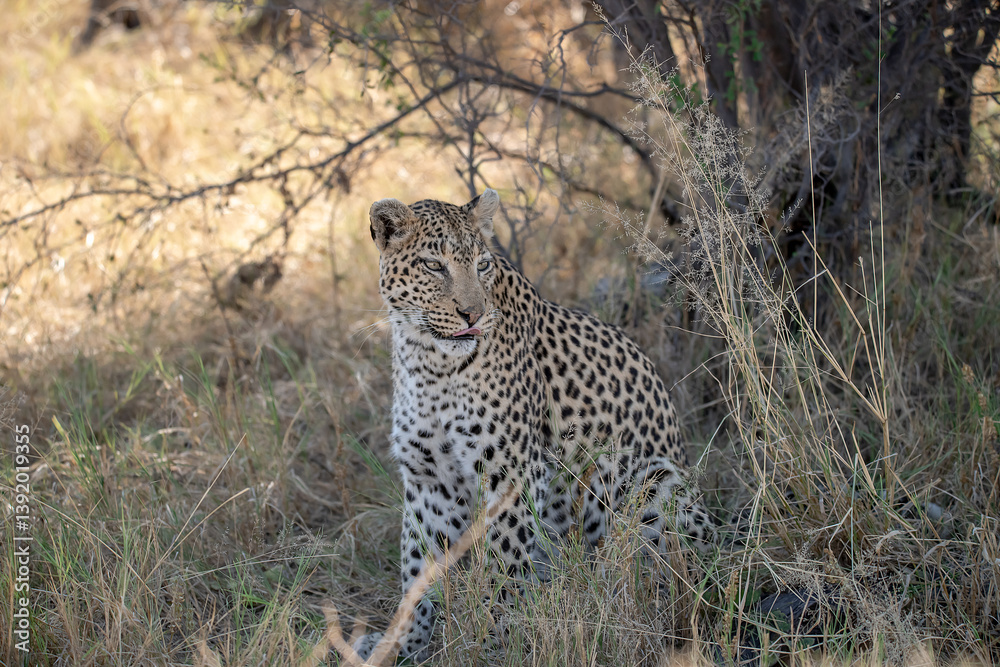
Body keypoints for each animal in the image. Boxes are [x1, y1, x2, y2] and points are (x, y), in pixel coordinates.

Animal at [353, 189, 713, 662]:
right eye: (434, 265)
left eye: (482, 264)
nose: (473, 314)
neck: (427, 360)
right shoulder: (429, 480)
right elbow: (417, 566)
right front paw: (403, 643)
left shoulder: (512, 470)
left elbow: (504, 562)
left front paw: (493, 641)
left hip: (653, 479)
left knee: (661, 575)